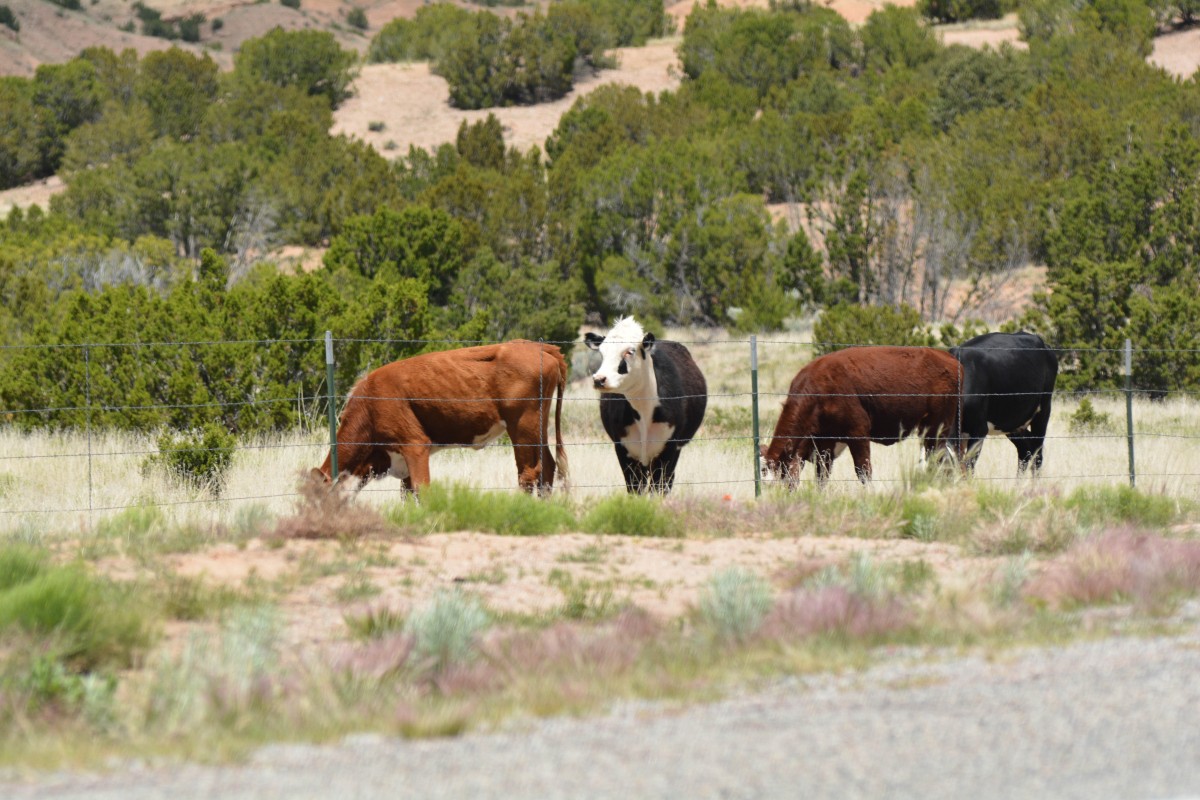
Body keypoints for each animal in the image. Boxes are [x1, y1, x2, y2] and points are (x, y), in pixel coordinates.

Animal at [312, 343, 568, 496]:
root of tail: (538, 346)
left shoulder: (415, 446)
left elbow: (422, 489)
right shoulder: (403, 462)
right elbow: (408, 494)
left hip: (522, 427)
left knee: (528, 472)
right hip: (537, 428)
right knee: (547, 466)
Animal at [585, 316, 705, 494]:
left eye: (630, 351)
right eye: (602, 352)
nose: (599, 379)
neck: (643, 411)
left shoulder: (668, 449)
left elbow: (659, 489)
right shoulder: (623, 449)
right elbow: (635, 489)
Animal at [758, 345, 964, 484]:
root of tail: (950, 359)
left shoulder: (857, 432)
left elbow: (863, 472)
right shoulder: (824, 443)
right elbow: (822, 476)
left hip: (937, 428)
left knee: (939, 458)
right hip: (928, 430)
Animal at [945, 331, 1060, 474]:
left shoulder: (979, 430)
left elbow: (969, 467)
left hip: (1043, 411)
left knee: (1037, 455)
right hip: (1013, 422)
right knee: (1025, 450)